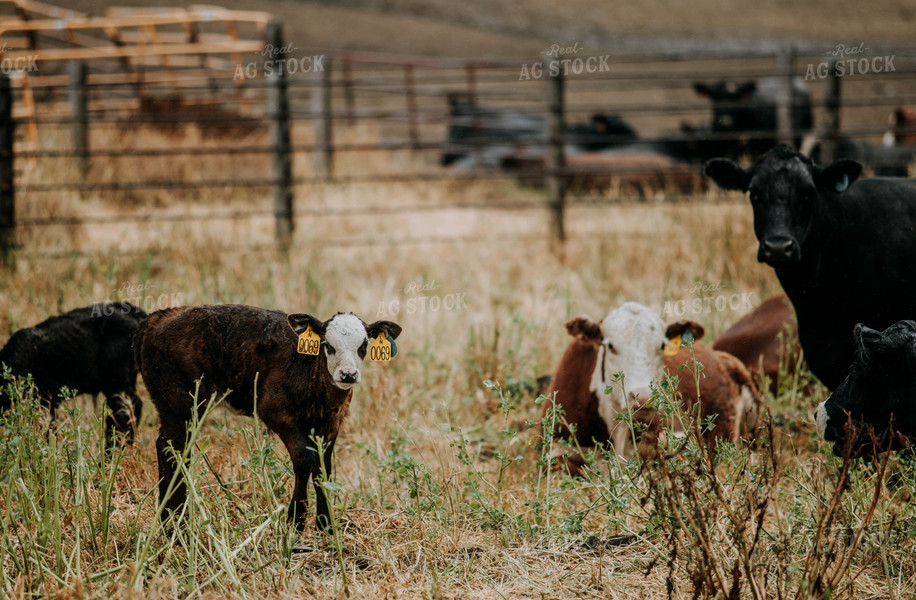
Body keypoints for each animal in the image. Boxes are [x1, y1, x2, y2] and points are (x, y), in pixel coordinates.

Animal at [133, 304, 400, 528]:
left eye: (363, 345)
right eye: (328, 345)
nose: (348, 375)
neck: (310, 372)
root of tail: (156, 319)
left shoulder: (333, 420)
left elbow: (323, 467)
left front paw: (325, 524)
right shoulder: (275, 410)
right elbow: (304, 459)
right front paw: (296, 521)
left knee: (170, 448)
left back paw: (171, 519)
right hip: (178, 401)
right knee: (173, 450)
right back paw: (176, 523)